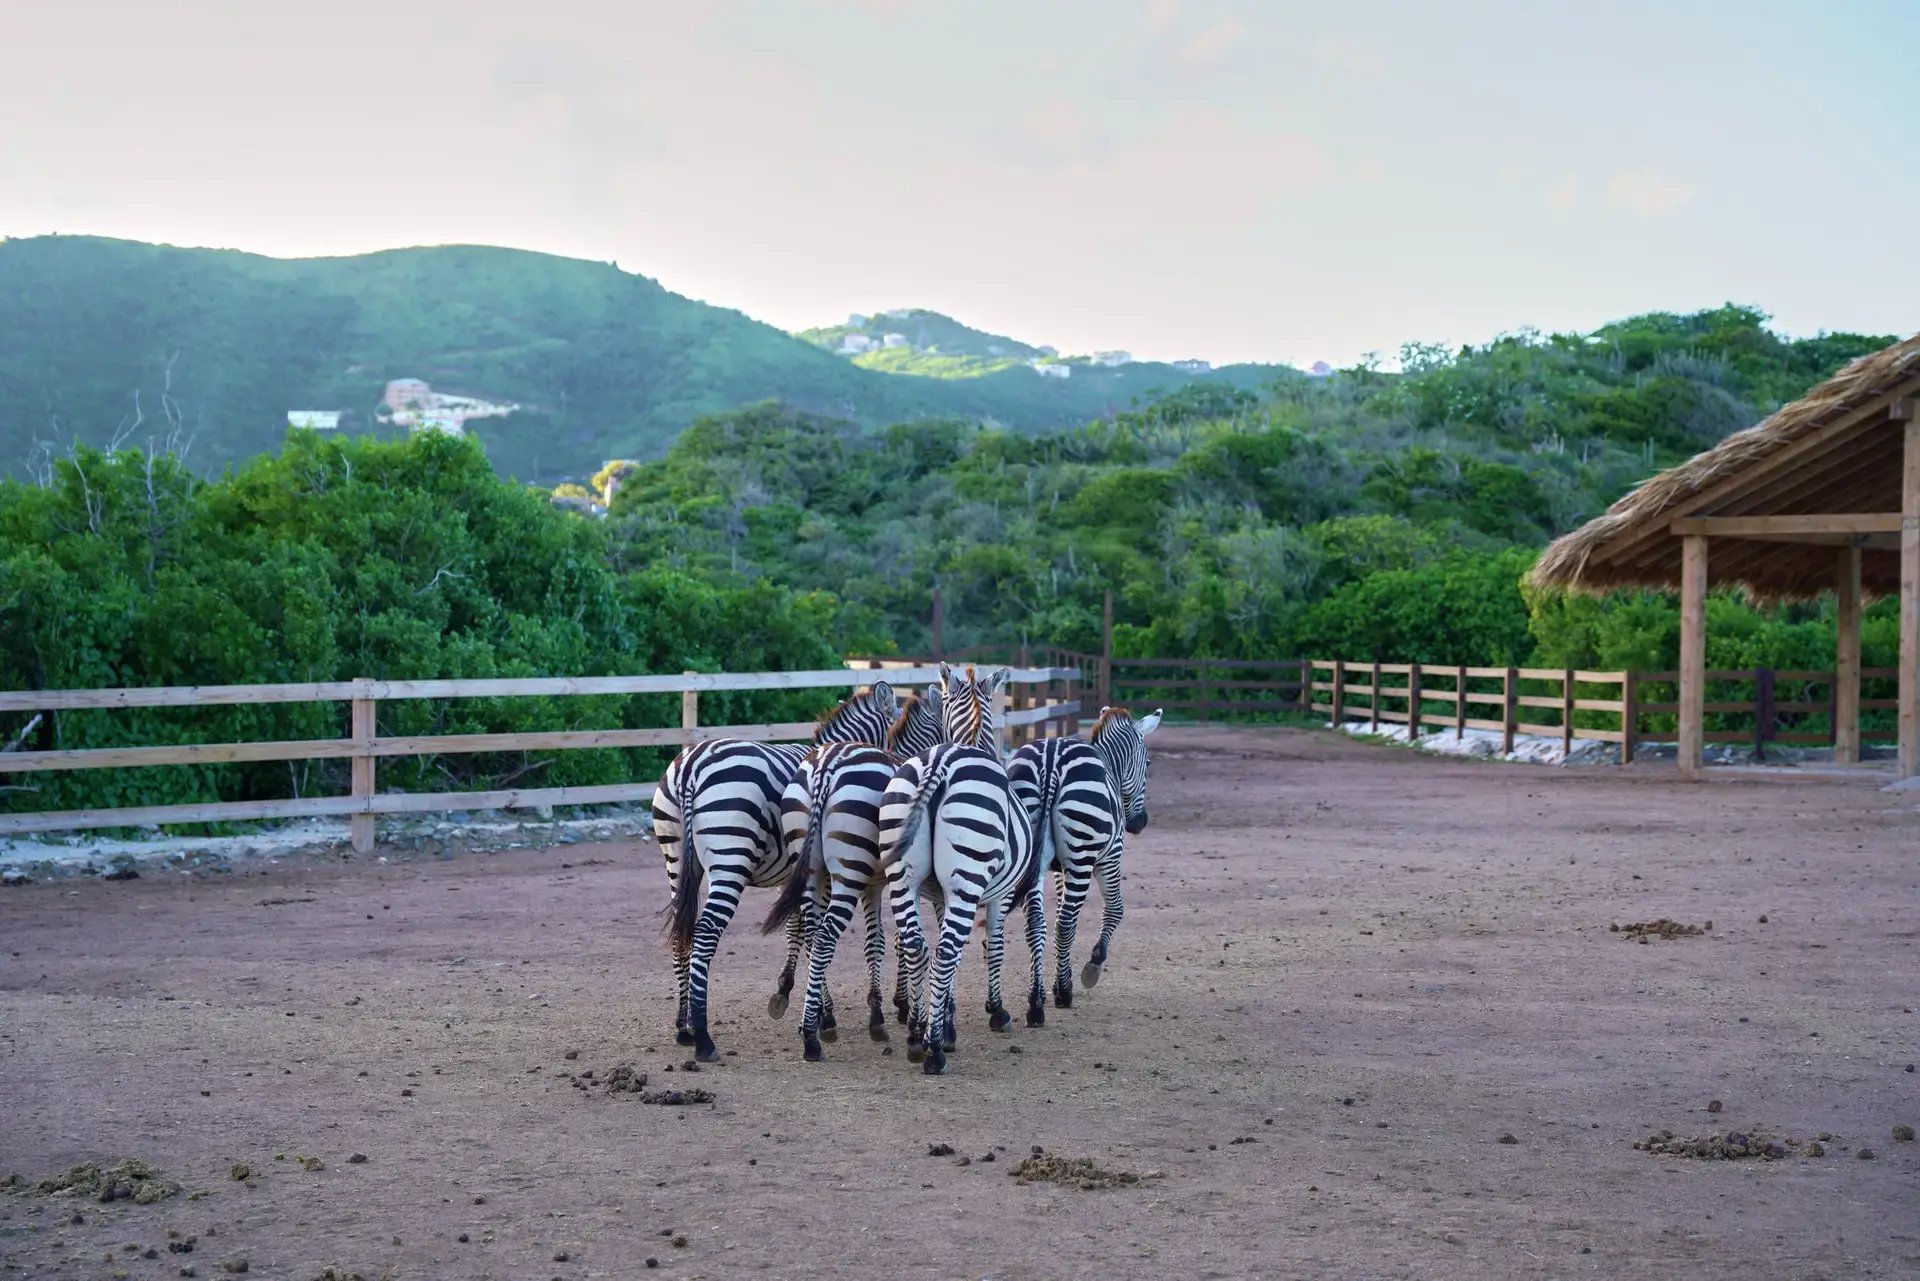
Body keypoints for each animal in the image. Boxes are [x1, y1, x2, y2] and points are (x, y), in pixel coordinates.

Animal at [653, 681, 898, 1062]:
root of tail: (690, 766)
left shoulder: (795, 877)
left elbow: (799, 930)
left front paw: (793, 997)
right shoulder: (818, 876)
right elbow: (810, 933)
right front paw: (821, 1015)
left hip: (675, 859)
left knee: (683, 931)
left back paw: (684, 1027)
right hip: (731, 858)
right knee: (705, 931)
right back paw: (704, 1038)